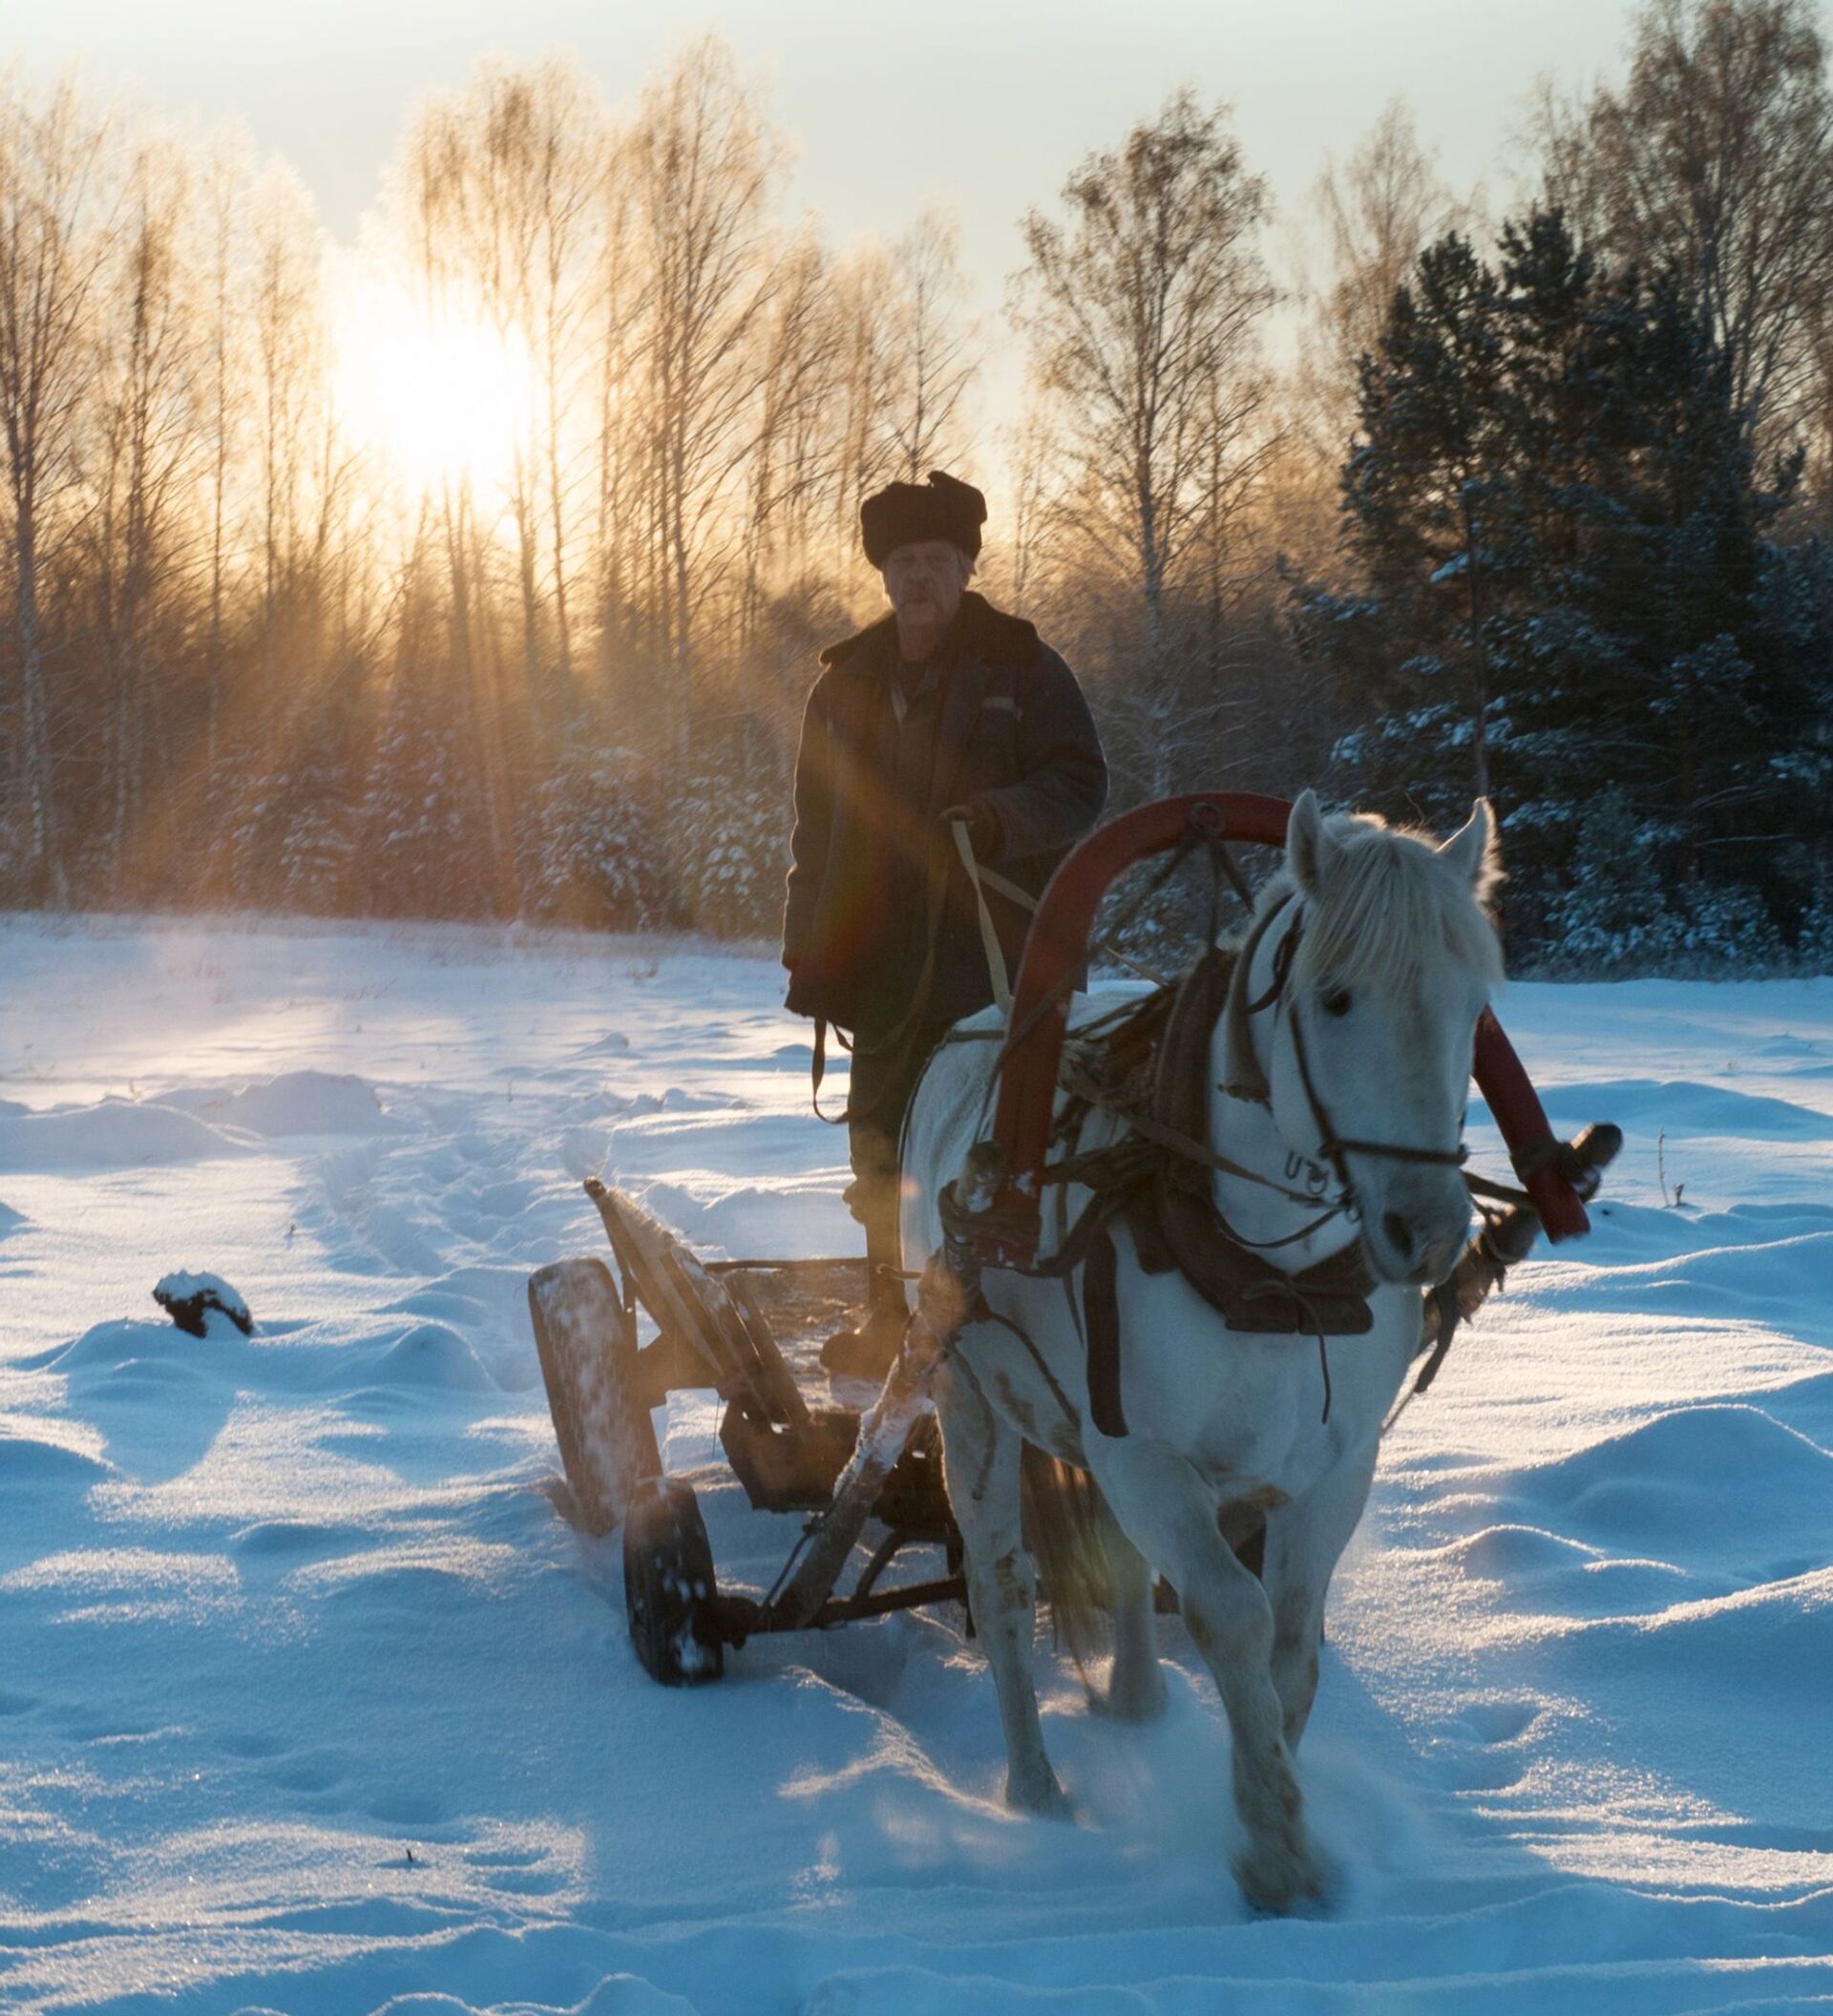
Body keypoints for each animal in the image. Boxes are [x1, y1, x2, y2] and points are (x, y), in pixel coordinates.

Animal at [899, 782, 1500, 1902]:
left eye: (1475, 1005)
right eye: (1336, 998)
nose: (1432, 1231)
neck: (1274, 1275)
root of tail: (985, 1019)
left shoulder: (1334, 1468)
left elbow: (1293, 1646)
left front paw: (1279, 1812)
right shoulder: (1145, 1456)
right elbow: (1234, 1618)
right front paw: (1275, 1849)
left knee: (1119, 1565)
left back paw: (1136, 1701)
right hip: (970, 1404)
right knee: (1002, 1585)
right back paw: (1035, 1793)